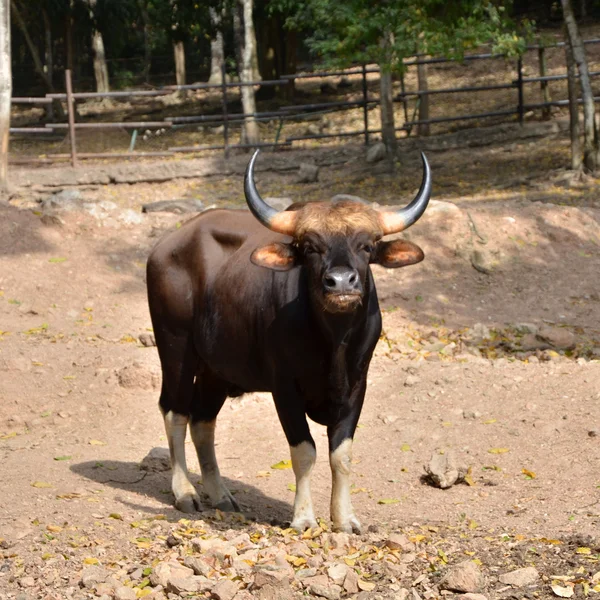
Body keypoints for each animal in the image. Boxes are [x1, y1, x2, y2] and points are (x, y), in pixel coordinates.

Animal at [149, 151, 432, 536]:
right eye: (310, 247)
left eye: (367, 245)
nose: (340, 281)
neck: (333, 343)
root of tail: (166, 246)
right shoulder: (284, 387)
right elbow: (305, 450)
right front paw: (303, 517)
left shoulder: (357, 385)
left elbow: (341, 454)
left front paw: (345, 519)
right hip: (175, 349)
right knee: (175, 412)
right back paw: (185, 493)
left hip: (216, 370)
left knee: (202, 421)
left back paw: (220, 494)